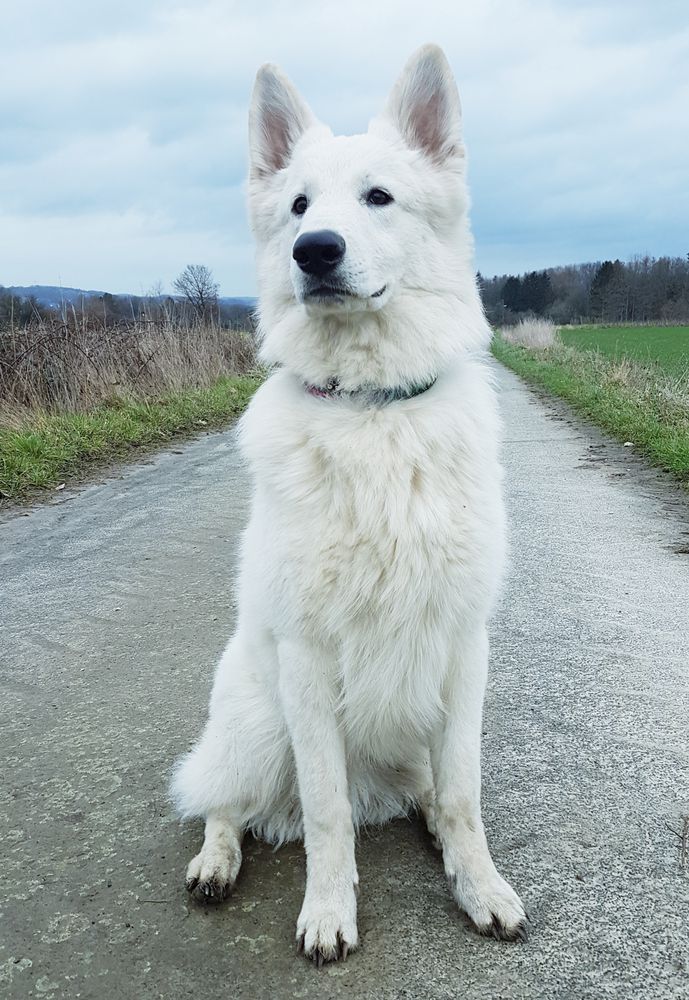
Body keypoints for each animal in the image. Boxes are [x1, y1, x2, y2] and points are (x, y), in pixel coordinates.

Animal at [172, 45, 528, 960]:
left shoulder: (462, 646)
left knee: (428, 791)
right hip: (255, 719)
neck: (373, 411)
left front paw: (479, 887)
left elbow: (463, 794)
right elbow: (328, 813)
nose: (314, 250)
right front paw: (329, 911)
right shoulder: (305, 656)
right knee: (226, 801)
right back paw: (215, 862)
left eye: (377, 196)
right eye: (298, 205)